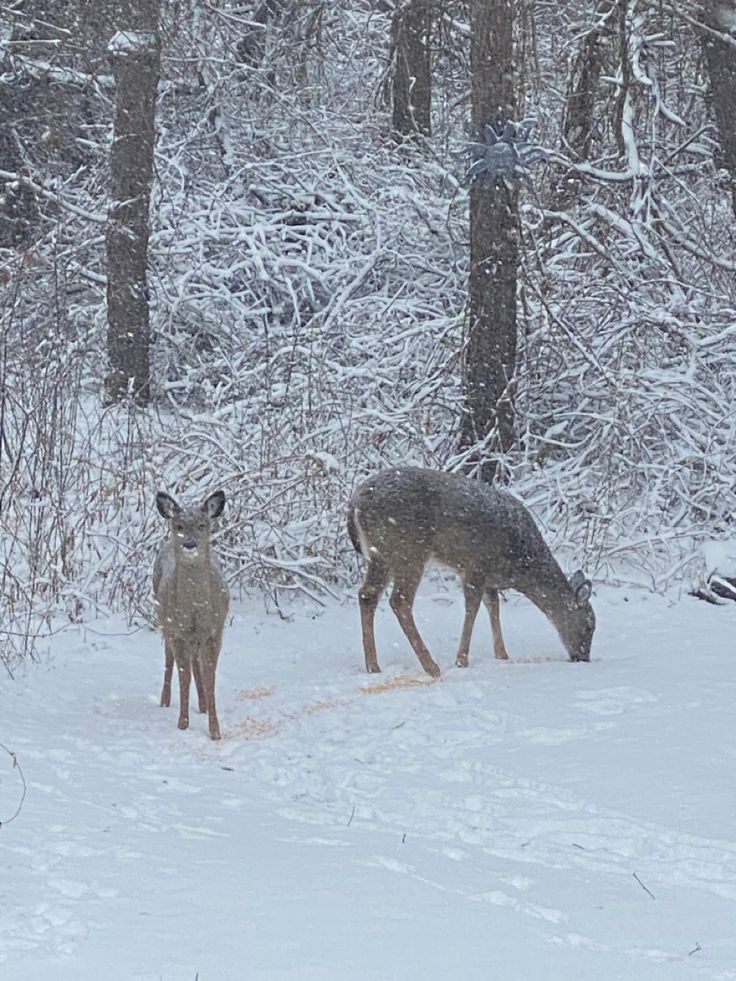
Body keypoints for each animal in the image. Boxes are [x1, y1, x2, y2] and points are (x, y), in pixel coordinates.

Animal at [152, 486, 227, 740]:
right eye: (179, 526)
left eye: (202, 525)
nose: (190, 544)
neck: (194, 609)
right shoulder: (177, 630)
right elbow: (183, 675)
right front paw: (183, 723)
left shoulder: (215, 631)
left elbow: (210, 676)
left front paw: (215, 730)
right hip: (164, 620)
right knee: (169, 659)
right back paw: (165, 700)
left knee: (196, 664)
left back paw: (203, 705)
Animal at [348, 468, 596, 672]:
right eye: (589, 625)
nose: (583, 657)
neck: (520, 563)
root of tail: (355, 505)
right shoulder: (475, 565)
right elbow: (472, 609)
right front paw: (462, 660)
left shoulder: (486, 577)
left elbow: (493, 606)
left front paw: (502, 654)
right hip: (409, 550)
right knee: (399, 601)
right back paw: (431, 666)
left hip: (380, 555)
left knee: (367, 595)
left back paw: (373, 665)